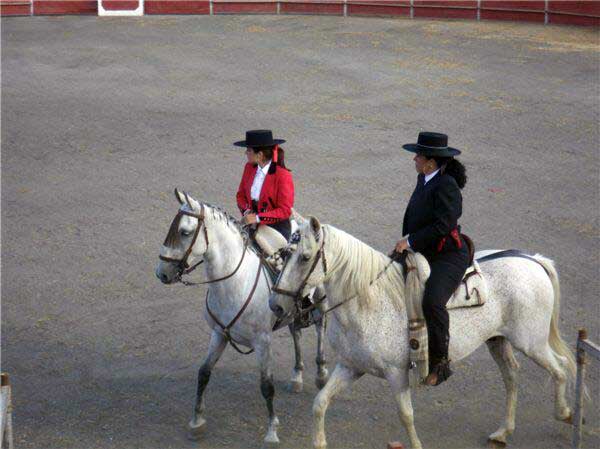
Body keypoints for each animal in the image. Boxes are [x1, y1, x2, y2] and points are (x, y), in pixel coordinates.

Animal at [156, 190, 328, 444]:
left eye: (184, 232)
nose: (161, 273)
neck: (233, 283)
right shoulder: (219, 334)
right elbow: (203, 373)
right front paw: (197, 422)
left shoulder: (262, 342)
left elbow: (266, 386)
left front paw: (271, 431)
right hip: (288, 310)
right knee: (295, 331)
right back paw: (297, 376)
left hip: (321, 302)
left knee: (320, 329)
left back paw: (321, 374)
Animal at [268, 217, 576, 448]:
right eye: (285, 254)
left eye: (305, 257)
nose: (276, 305)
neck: (367, 300)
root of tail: (532, 260)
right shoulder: (350, 367)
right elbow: (320, 403)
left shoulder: (397, 374)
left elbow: (406, 415)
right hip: (498, 340)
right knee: (512, 376)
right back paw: (503, 432)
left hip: (531, 343)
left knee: (560, 368)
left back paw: (565, 413)